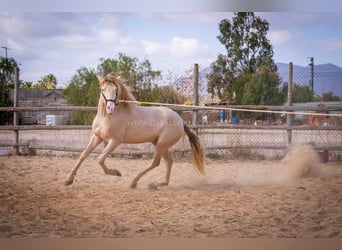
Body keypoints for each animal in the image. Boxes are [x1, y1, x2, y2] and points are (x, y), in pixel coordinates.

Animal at [64, 72, 204, 188]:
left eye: (115, 90)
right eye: (103, 89)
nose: (110, 108)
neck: (107, 117)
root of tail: (180, 121)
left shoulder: (115, 141)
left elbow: (100, 159)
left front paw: (116, 173)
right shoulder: (97, 137)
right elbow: (83, 155)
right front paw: (68, 180)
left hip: (161, 145)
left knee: (156, 163)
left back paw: (135, 182)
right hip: (161, 145)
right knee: (168, 162)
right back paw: (158, 184)